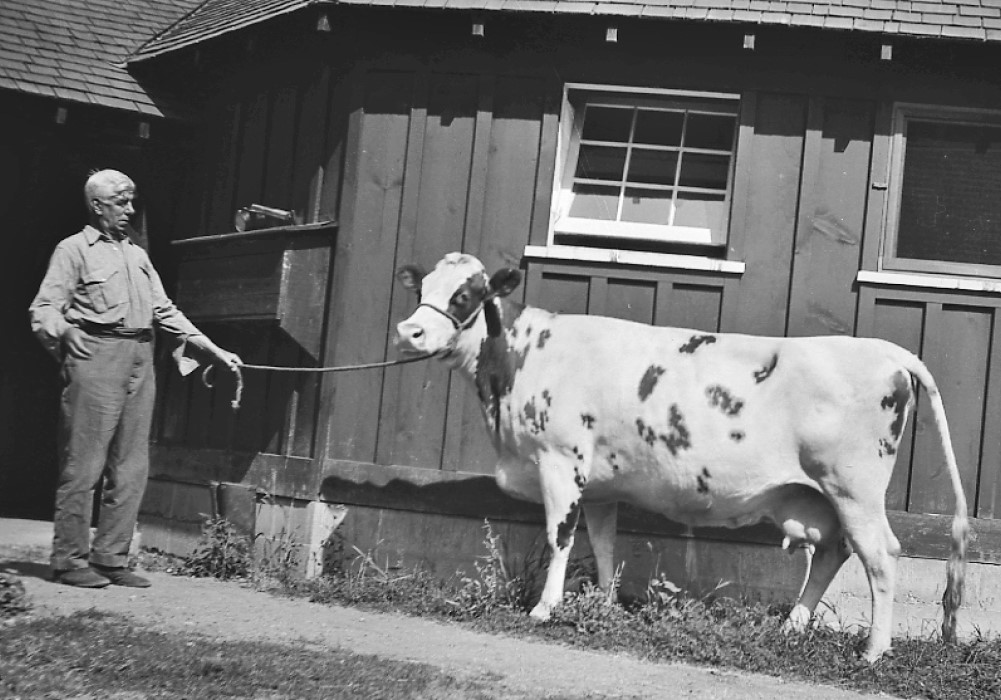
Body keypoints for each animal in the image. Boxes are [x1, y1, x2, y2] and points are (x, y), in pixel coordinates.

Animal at [392, 253, 968, 660]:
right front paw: (603, 603)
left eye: (466, 294)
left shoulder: (560, 461)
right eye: (421, 290)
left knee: (881, 556)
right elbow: (603, 544)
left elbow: (560, 538)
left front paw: (544, 608)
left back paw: (873, 651)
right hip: (818, 494)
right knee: (832, 551)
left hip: (855, 488)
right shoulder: (599, 483)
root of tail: (885, 349)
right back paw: (792, 625)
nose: (408, 331)